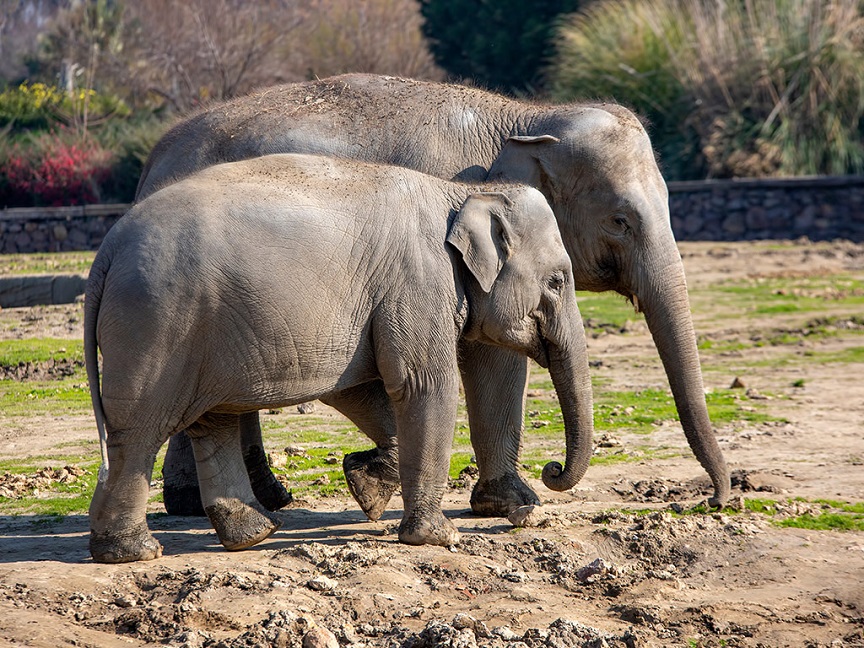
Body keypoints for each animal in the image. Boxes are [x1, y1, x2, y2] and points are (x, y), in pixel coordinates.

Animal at [86, 153, 592, 560]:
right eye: (557, 282)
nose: (551, 471)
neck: (460, 193)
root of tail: (106, 250)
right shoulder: (419, 282)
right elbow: (425, 384)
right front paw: (437, 538)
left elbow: (356, 387)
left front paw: (365, 487)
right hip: (157, 325)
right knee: (139, 431)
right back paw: (133, 553)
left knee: (214, 421)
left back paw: (253, 535)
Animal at [138, 73, 732, 516]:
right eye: (620, 220)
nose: (712, 502)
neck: (527, 119)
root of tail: (152, 161)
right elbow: (491, 357)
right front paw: (515, 503)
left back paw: (239, 500)